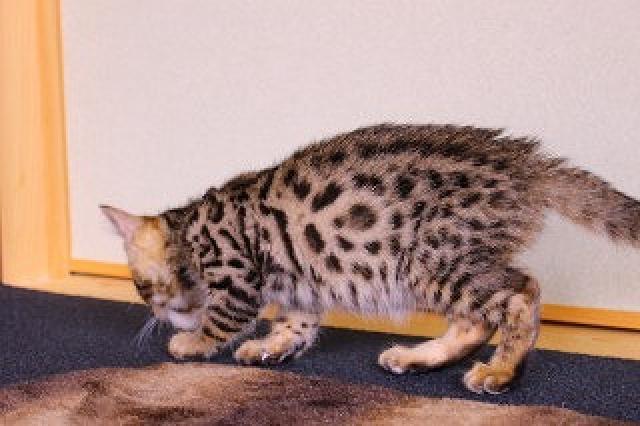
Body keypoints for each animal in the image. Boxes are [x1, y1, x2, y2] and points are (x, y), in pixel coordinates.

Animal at [102, 123, 640, 394]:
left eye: (142, 287)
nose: (158, 314)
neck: (191, 227)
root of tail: (524, 163)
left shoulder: (236, 271)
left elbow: (223, 317)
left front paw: (191, 342)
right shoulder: (302, 280)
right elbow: (298, 322)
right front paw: (274, 346)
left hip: (429, 259)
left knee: (519, 294)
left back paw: (501, 372)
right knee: (474, 319)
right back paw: (416, 358)